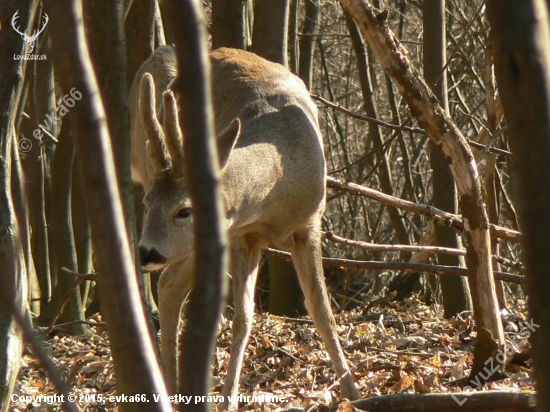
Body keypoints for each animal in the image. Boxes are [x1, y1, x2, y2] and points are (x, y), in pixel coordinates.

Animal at [130, 45, 362, 408]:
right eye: (147, 202)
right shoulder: (243, 234)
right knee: (169, 284)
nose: (146, 252)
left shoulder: (309, 226)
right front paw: (228, 399)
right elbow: (243, 317)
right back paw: (171, 387)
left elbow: (322, 311)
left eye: (184, 210)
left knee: (169, 285)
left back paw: (173, 388)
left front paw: (354, 393)